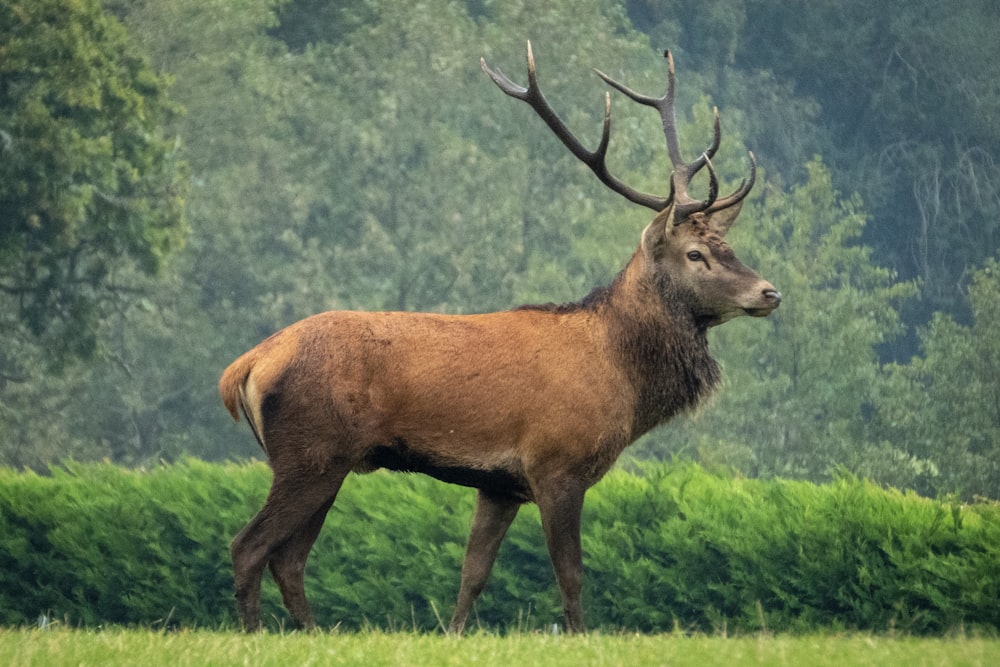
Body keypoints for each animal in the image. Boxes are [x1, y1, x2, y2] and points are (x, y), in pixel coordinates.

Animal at [219, 44, 780, 636]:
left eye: (729, 246)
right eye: (696, 254)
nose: (769, 292)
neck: (622, 378)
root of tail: (246, 366)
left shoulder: (499, 483)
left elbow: (474, 573)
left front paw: (454, 633)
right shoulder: (557, 465)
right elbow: (570, 574)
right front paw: (580, 638)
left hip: (328, 461)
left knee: (289, 558)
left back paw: (312, 633)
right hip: (310, 452)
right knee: (249, 546)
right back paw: (257, 633)